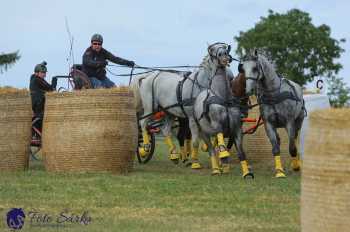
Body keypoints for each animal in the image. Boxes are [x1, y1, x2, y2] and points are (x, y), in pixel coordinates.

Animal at [131, 42, 232, 171]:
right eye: (212, 50)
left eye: (225, 47)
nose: (224, 56)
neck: (201, 85)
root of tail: (149, 76)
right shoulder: (192, 118)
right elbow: (195, 140)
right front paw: (195, 162)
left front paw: (220, 158)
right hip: (150, 108)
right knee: (143, 123)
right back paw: (145, 148)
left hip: (168, 112)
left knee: (165, 130)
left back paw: (174, 155)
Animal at [242, 49, 304, 178]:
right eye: (242, 68)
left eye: (255, 68)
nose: (248, 90)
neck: (273, 95)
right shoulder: (269, 124)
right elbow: (275, 148)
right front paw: (279, 171)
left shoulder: (289, 122)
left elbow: (292, 148)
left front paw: (296, 166)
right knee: (279, 140)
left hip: (298, 121)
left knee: (295, 140)